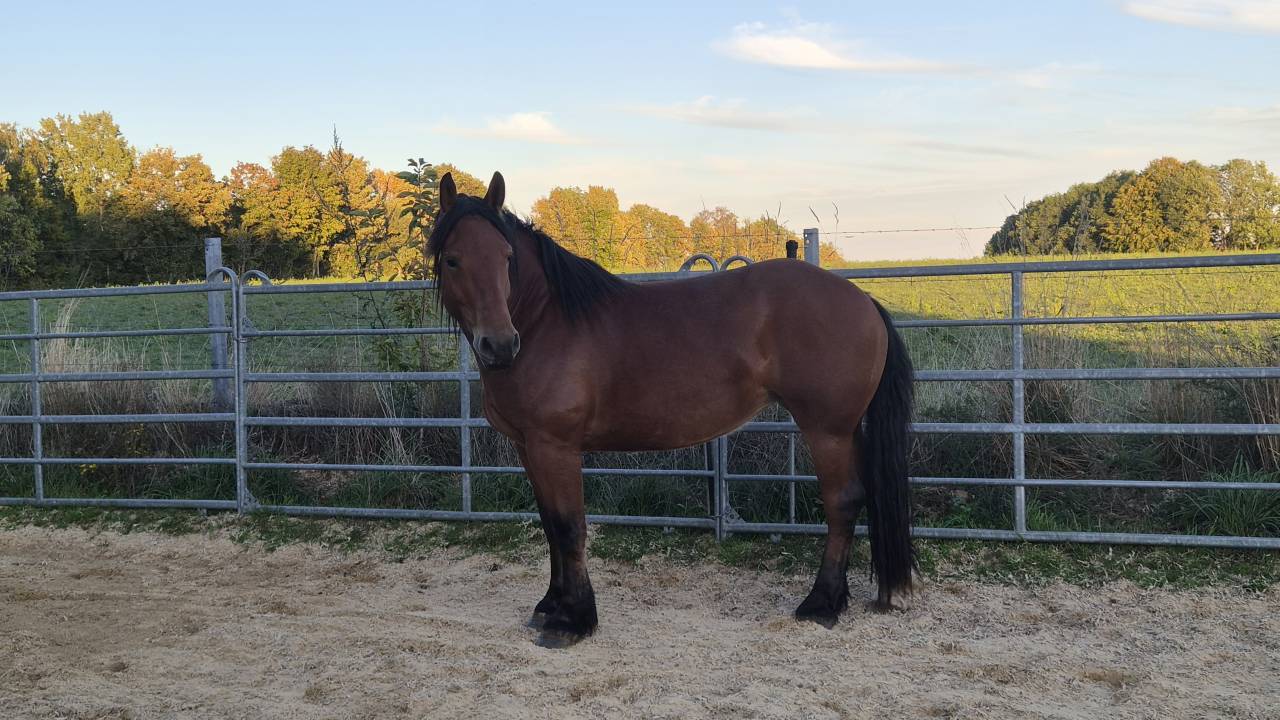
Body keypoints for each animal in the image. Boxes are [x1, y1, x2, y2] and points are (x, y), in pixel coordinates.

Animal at [429, 171, 916, 648]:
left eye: (506, 256)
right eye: (453, 259)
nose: (499, 344)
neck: (544, 321)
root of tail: (863, 300)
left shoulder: (556, 447)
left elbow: (569, 527)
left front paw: (574, 620)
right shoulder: (528, 447)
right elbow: (550, 524)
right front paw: (551, 605)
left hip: (827, 430)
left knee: (842, 503)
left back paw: (821, 603)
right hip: (846, 431)